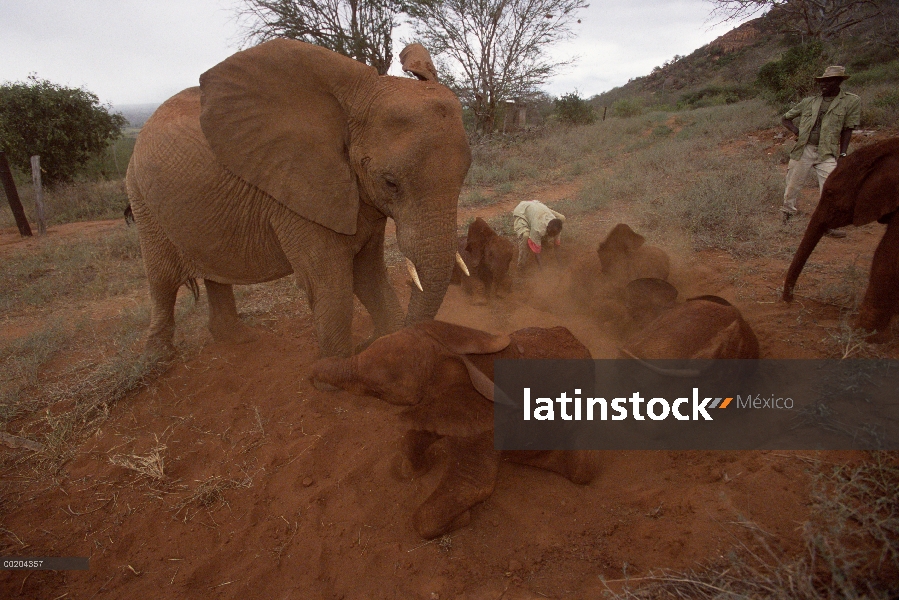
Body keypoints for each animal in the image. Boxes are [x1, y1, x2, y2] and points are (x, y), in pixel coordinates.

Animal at [125, 41, 472, 356]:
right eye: (390, 183)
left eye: (464, 175)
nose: (369, 342)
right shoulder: (297, 191)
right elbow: (332, 288)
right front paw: (337, 371)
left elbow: (370, 275)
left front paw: (386, 347)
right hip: (140, 195)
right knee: (161, 279)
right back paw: (158, 358)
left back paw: (239, 339)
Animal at [312, 322, 600, 540]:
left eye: (377, 389)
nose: (310, 375)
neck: (448, 355)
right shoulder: (444, 403)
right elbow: (418, 436)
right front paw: (411, 470)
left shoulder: (488, 420)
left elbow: (473, 485)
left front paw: (462, 518)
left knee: (582, 468)